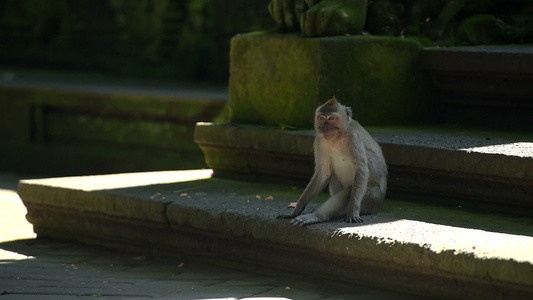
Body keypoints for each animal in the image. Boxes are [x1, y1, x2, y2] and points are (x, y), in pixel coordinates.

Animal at [276, 97, 384, 226]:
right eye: (322, 118)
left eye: (331, 118)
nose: (325, 128)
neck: (337, 138)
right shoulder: (320, 140)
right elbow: (323, 174)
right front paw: (297, 209)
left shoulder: (353, 138)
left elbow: (361, 170)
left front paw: (353, 211)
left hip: (373, 198)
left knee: (349, 192)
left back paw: (316, 216)